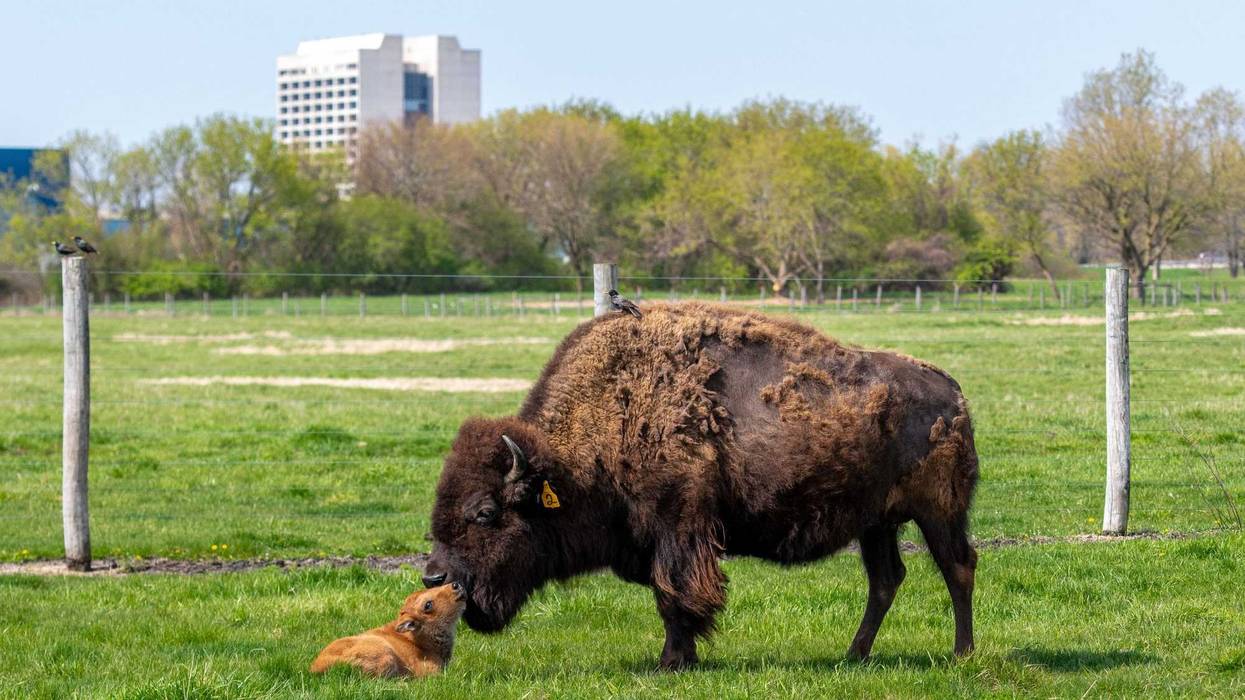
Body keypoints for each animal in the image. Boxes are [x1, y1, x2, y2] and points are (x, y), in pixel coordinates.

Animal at [424, 302, 978, 669]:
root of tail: (953, 392)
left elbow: (673, 594)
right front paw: (679, 657)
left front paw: (672, 662)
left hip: (939, 512)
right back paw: (854, 655)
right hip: (876, 522)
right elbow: (669, 594)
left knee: (958, 567)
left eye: (485, 513)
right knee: (886, 579)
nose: (433, 578)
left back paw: (961, 654)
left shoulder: (679, 527)